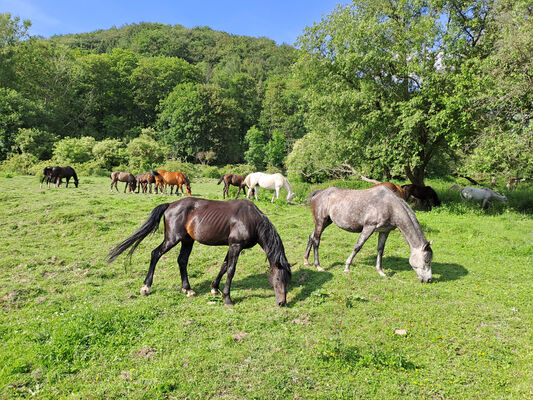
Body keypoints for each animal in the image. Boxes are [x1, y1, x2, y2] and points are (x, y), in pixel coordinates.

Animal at [106, 197, 294, 306]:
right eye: (278, 279)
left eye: (288, 280)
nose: (282, 303)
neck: (251, 220)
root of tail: (170, 205)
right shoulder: (235, 246)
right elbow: (231, 270)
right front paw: (227, 298)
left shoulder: (231, 246)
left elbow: (223, 266)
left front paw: (214, 288)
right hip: (172, 239)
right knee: (155, 254)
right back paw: (146, 287)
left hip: (187, 241)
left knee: (182, 261)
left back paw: (187, 289)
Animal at [304, 186, 432, 282]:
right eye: (426, 260)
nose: (429, 280)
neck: (390, 206)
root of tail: (318, 193)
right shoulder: (369, 227)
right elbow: (358, 246)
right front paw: (347, 267)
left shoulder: (384, 231)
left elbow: (380, 250)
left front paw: (380, 271)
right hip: (320, 222)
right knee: (316, 240)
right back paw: (318, 266)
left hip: (326, 222)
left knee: (311, 236)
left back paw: (306, 261)